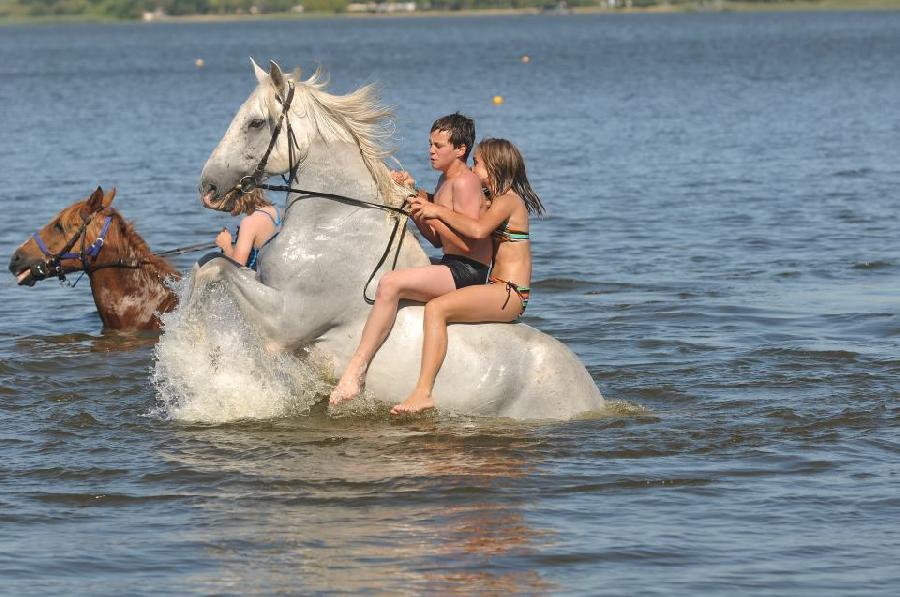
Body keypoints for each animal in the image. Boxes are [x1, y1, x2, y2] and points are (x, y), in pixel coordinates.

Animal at [186, 58, 600, 416]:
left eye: (255, 123)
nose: (208, 187)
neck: (334, 222)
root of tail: (591, 393)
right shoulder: (265, 285)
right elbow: (207, 264)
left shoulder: (286, 323)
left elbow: (216, 269)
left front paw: (192, 351)